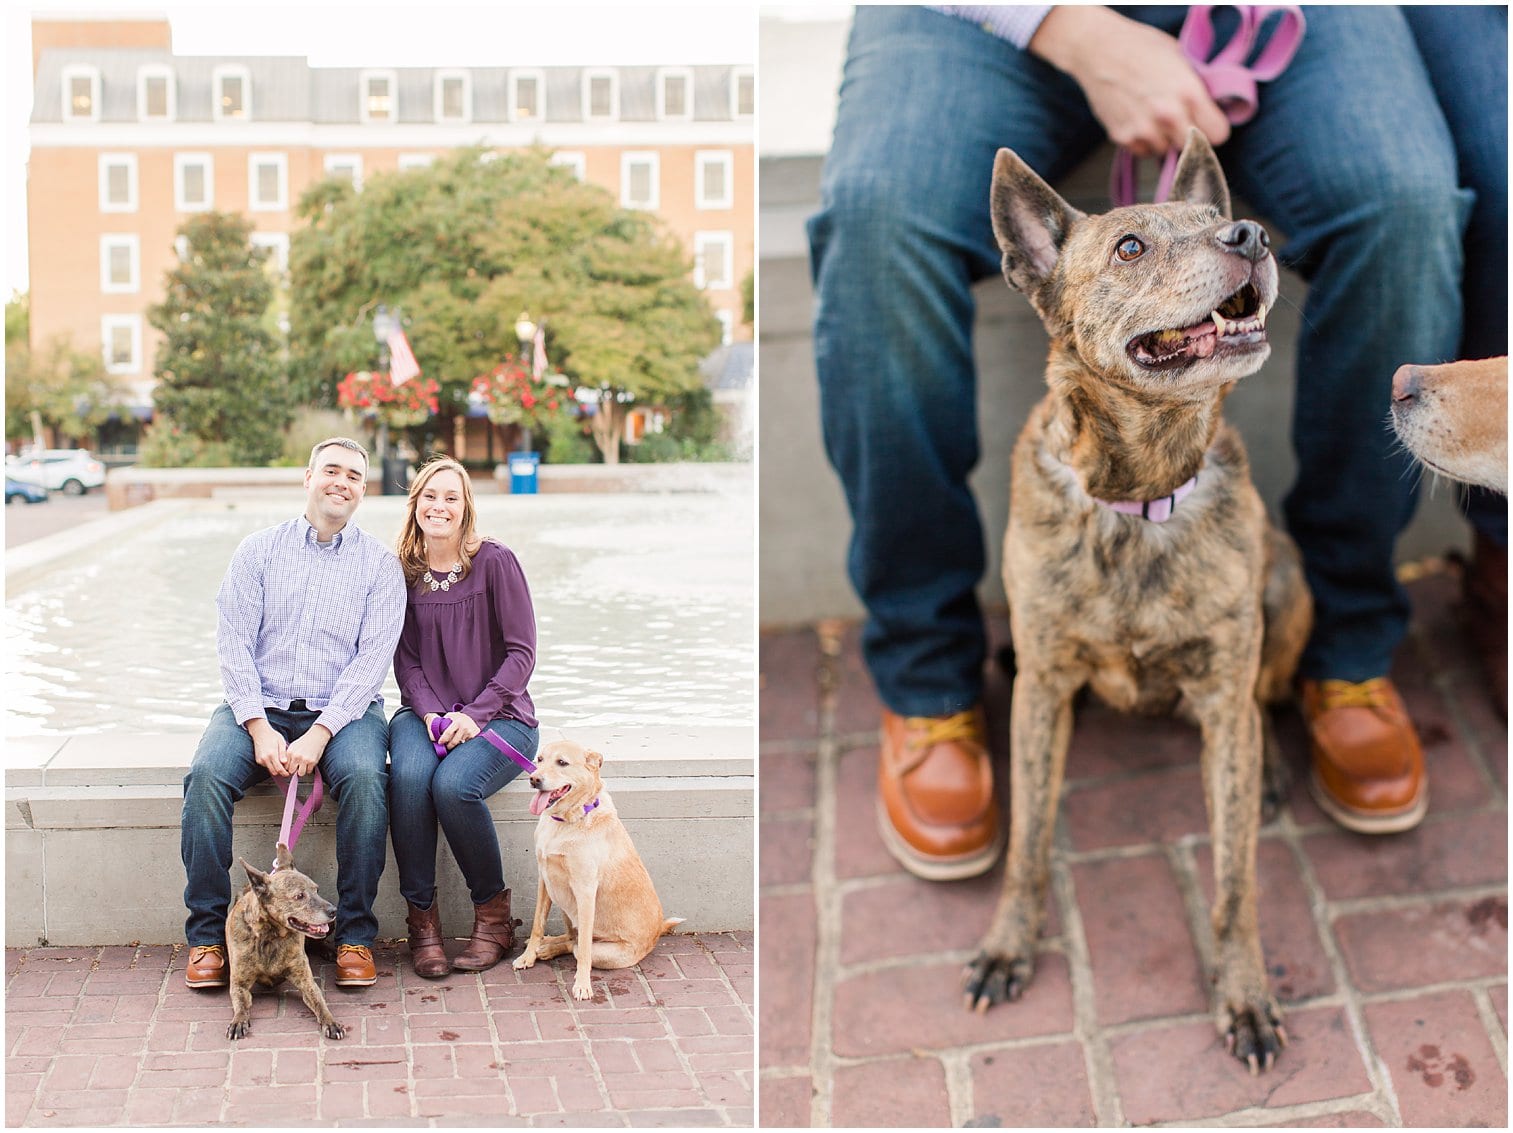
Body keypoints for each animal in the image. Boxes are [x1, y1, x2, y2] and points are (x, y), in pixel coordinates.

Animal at [520, 741, 686, 998]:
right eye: (539, 759)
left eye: (562, 762)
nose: (534, 779)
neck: (566, 821)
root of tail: (658, 931)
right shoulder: (544, 880)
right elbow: (537, 924)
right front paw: (527, 957)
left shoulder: (586, 890)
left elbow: (584, 950)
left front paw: (582, 985)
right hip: (564, 905)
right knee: (571, 936)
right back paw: (546, 944)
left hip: (605, 948)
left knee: (577, 945)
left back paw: (549, 949)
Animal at [968, 127, 1313, 1077]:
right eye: (1129, 247)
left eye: (1217, 218)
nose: (1249, 235)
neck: (1141, 496)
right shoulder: (1041, 684)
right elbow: (1026, 843)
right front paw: (1007, 944)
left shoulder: (1224, 685)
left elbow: (1234, 880)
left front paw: (1243, 994)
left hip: (1285, 585)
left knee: (1262, 705)